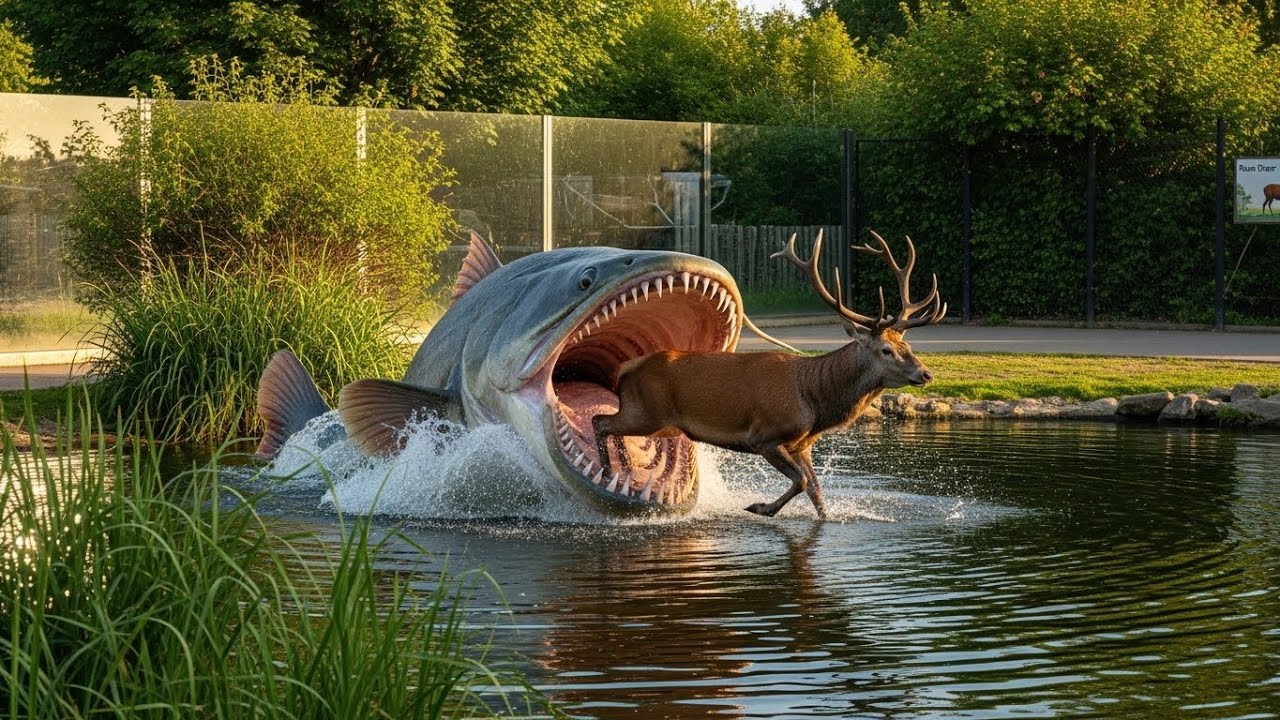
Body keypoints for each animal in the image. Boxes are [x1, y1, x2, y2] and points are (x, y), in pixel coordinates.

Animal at [591, 229, 947, 519]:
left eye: (906, 344)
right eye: (886, 350)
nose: (926, 373)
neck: (814, 400)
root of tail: (628, 367)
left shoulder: (803, 445)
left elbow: (817, 491)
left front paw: (823, 519)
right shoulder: (765, 436)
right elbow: (801, 482)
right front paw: (760, 507)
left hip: (656, 421)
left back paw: (620, 468)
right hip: (646, 411)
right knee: (600, 421)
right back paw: (609, 471)